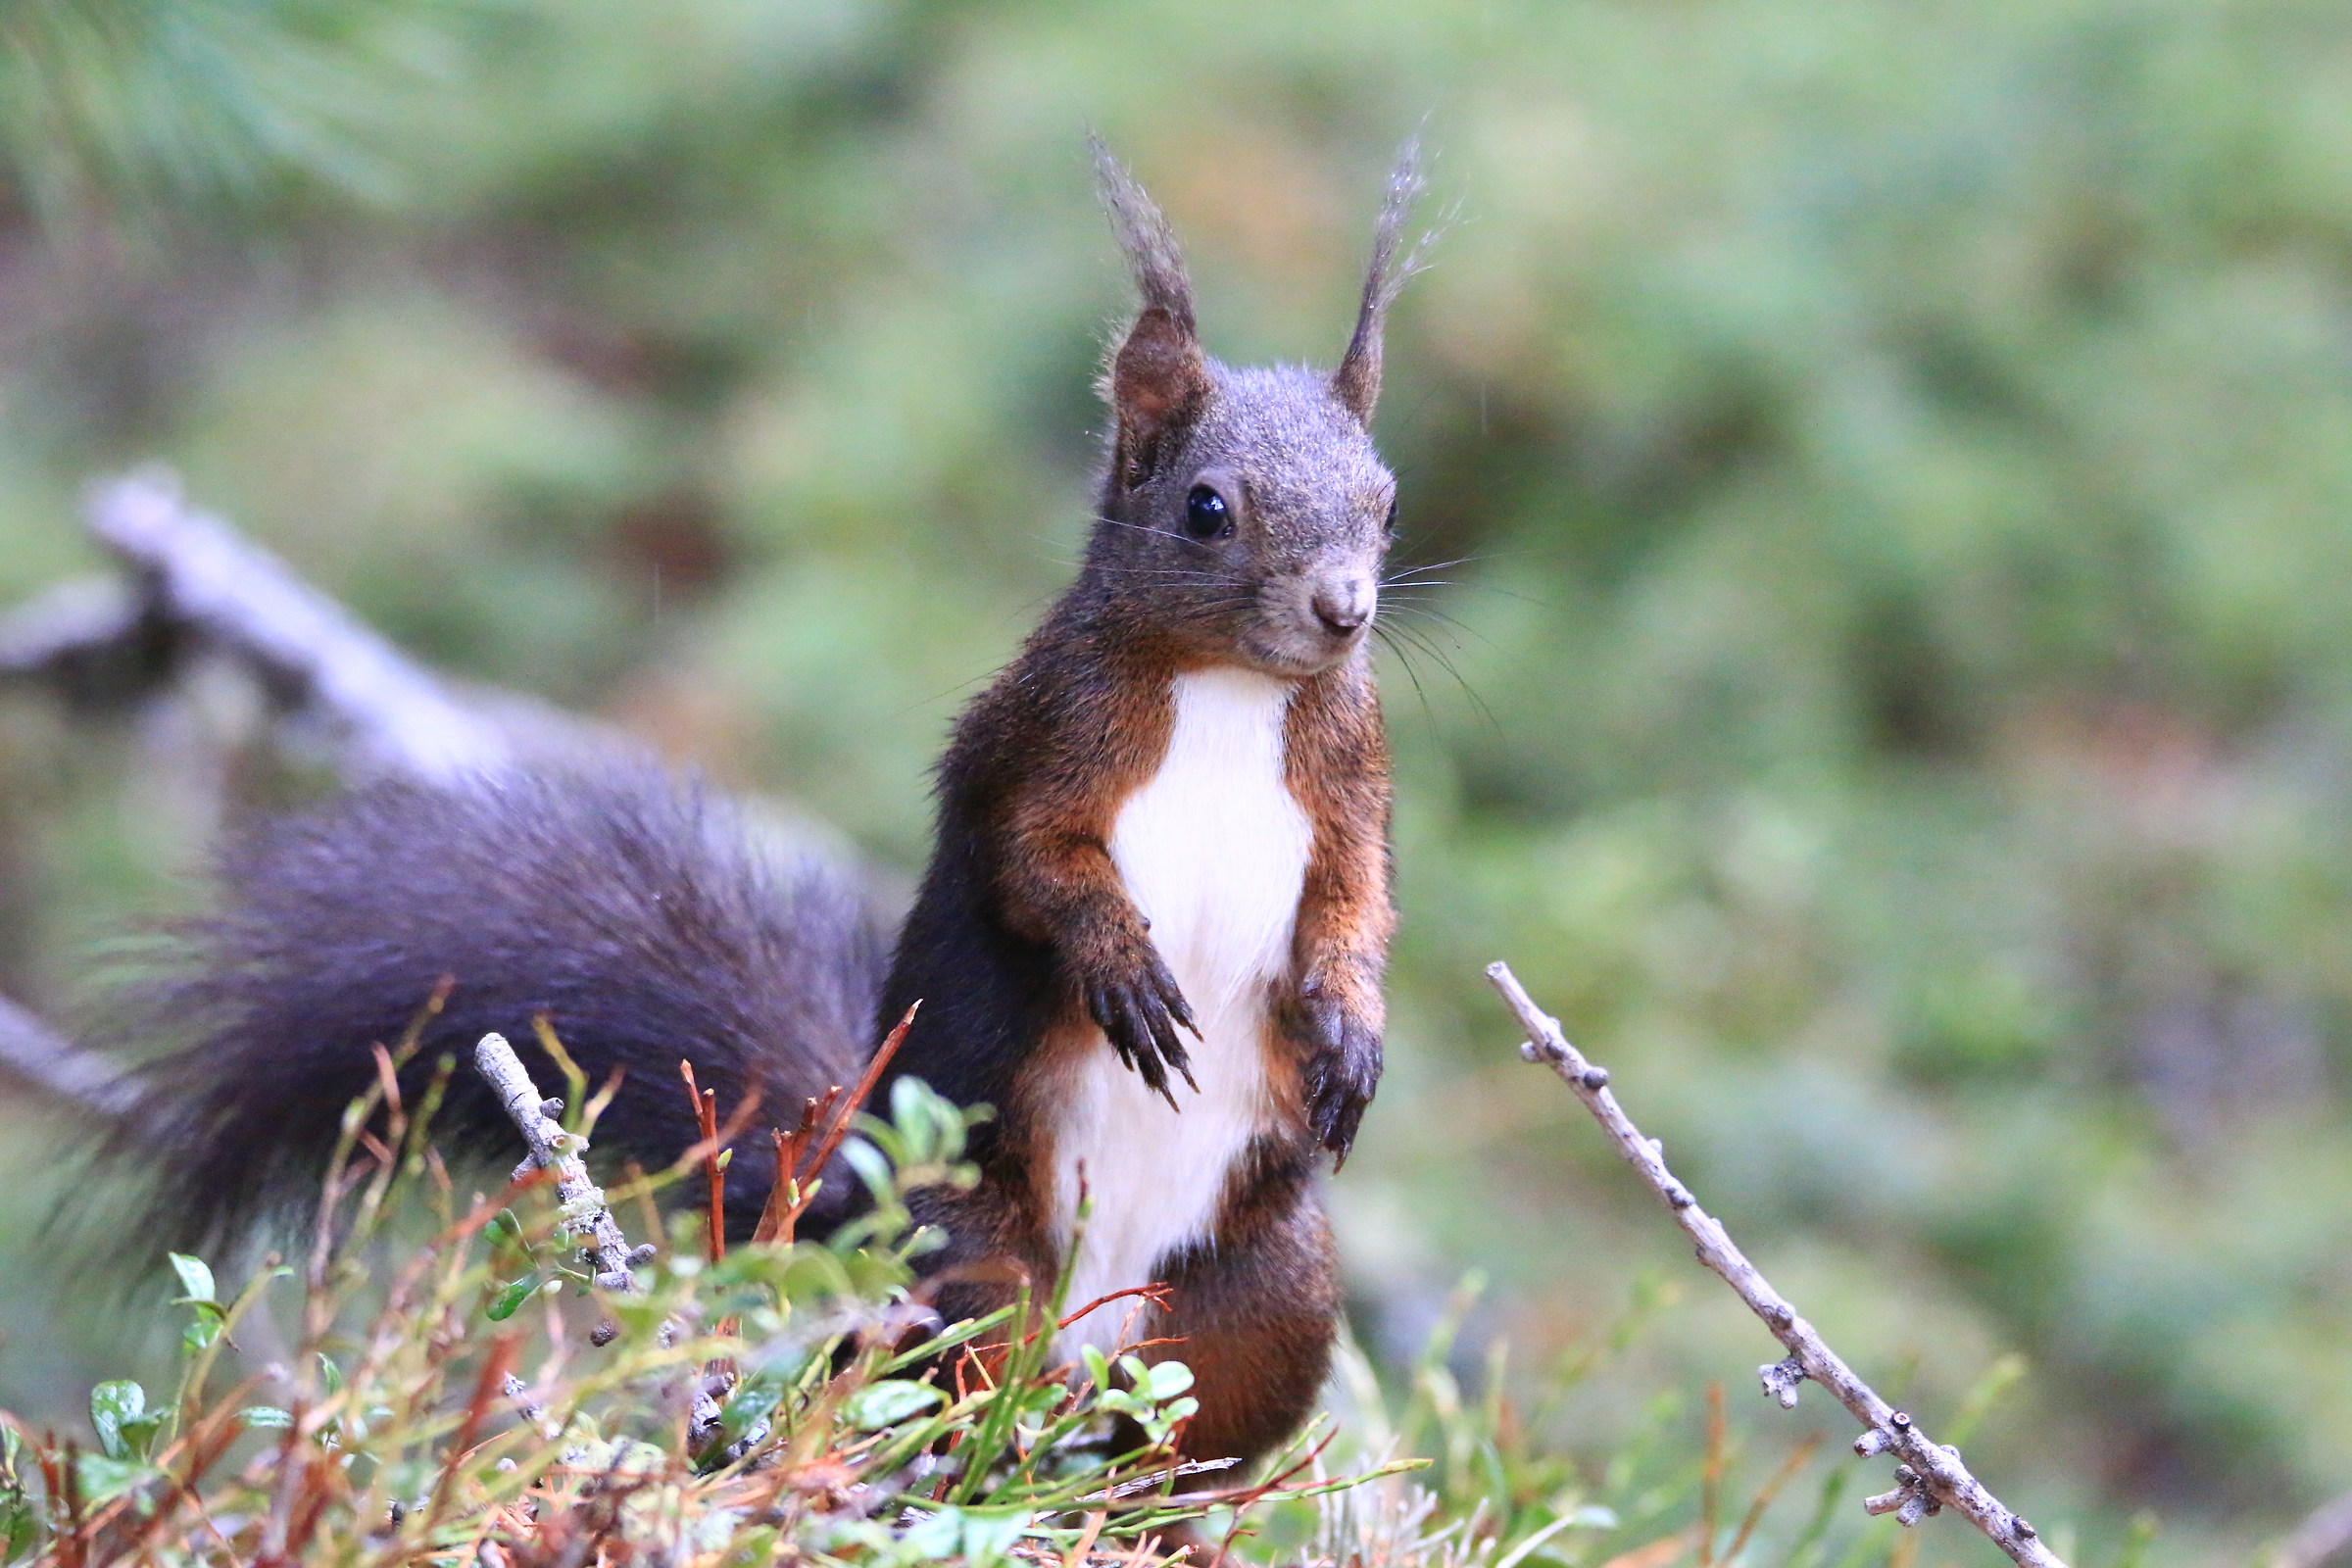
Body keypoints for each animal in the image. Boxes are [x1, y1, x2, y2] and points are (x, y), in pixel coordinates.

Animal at [102, 140, 1422, 1471]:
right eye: (1207, 507)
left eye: (1387, 499)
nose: (1344, 608)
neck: (1229, 693)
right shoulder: (1033, 742)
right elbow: (1033, 861)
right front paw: (1124, 967)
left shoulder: (1351, 782)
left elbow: (1357, 902)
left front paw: (1354, 1032)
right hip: (961, 1255)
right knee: (939, 1375)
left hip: (1263, 1293)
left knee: (1187, 1429)